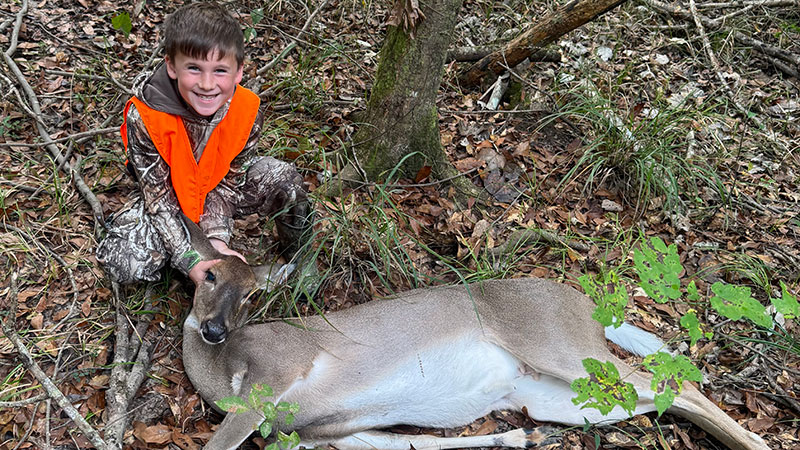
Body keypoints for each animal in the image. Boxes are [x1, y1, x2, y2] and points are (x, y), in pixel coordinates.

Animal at [179, 216, 769, 450]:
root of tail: (587, 304)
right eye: (208, 276)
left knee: (680, 382)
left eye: (252, 294)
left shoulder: (274, 375)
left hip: (558, 342)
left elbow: (216, 444)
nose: (213, 329)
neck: (222, 372)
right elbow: (412, 443)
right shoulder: (326, 432)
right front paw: (518, 439)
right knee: (660, 396)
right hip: (554, 393)